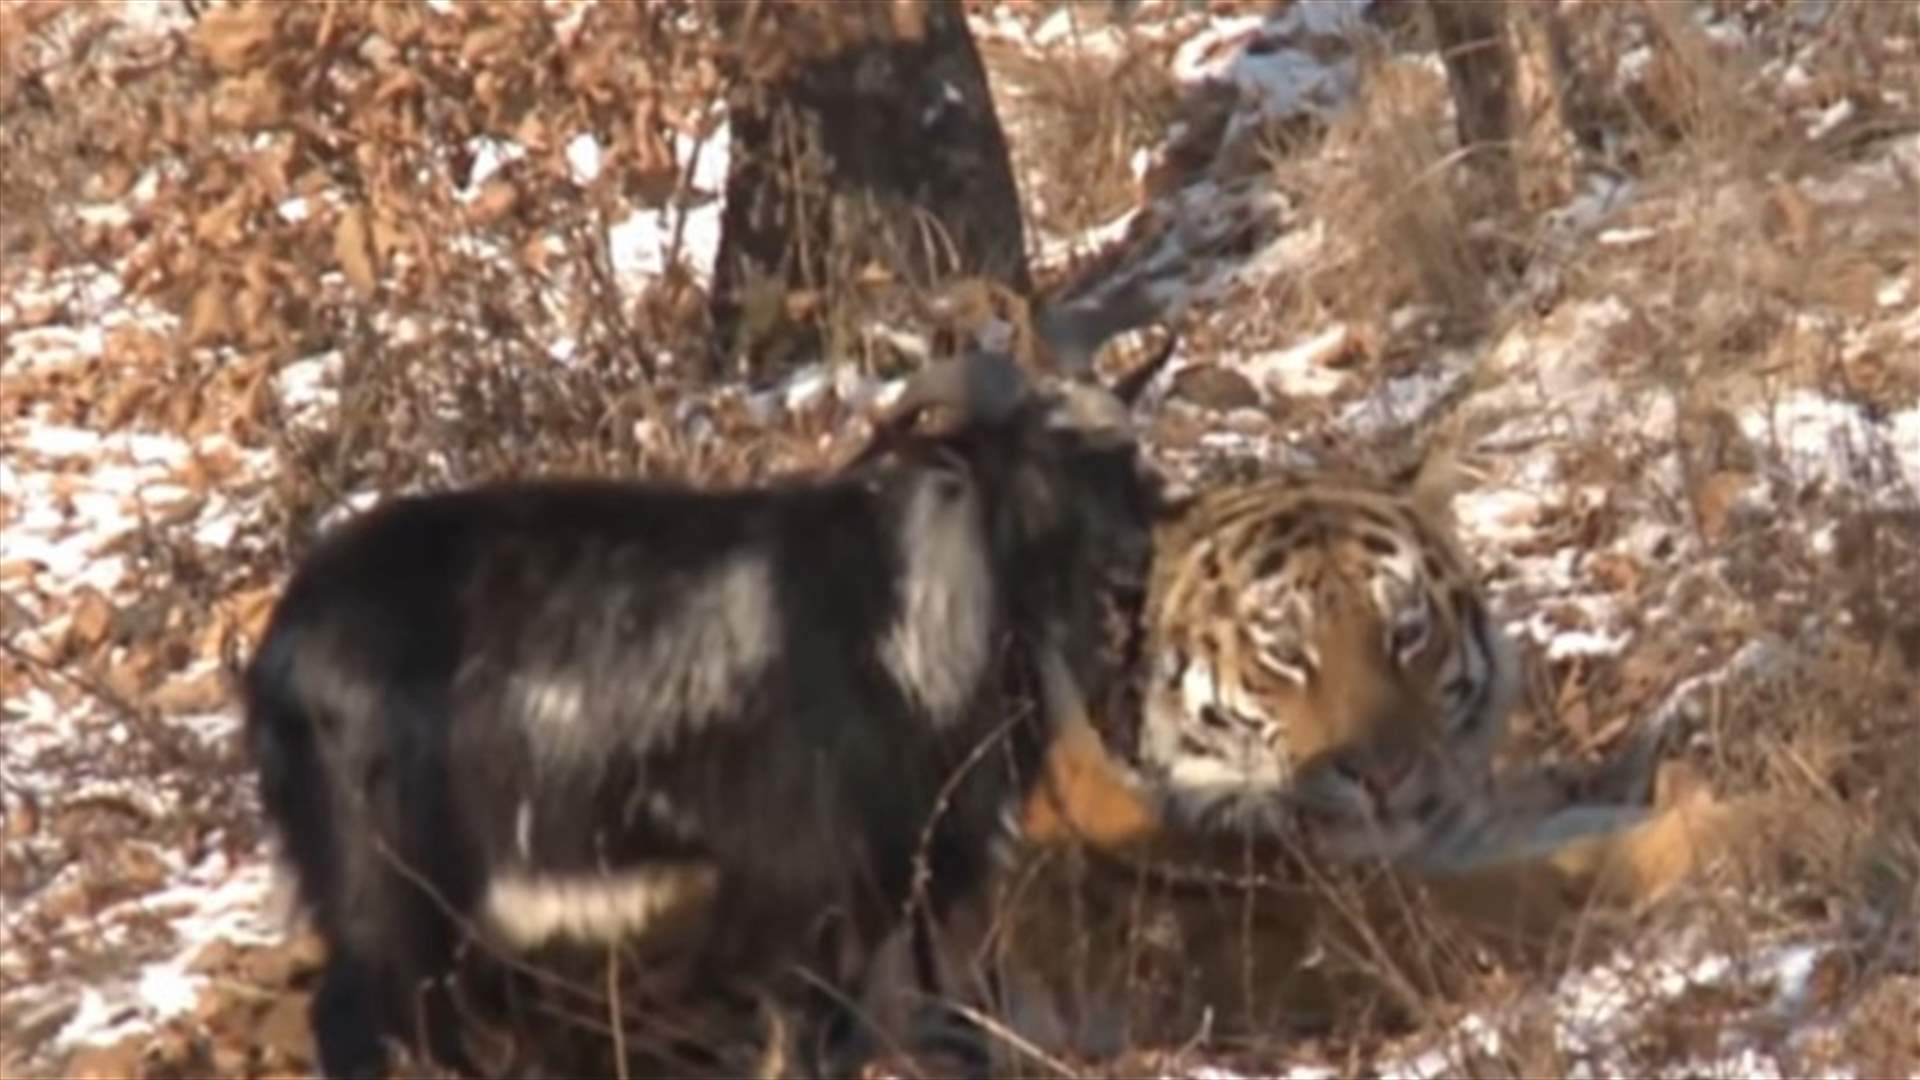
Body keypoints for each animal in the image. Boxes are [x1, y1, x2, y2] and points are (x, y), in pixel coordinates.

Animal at [241, 349, 1162, 1078]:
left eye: (1132, 461)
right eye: (1037, 465)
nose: (1130, 571)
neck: (906, 614)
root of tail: (275, 655)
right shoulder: (805, 890)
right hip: (383, 883)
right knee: (359, 1023)